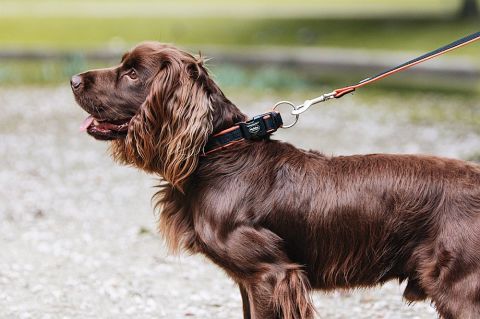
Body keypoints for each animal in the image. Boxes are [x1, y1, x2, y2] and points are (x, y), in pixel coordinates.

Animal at [71, 42, 480, 319]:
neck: (220, 153)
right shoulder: (249, 282)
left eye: (132, 73)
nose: (73, 79)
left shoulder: (270, 275)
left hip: (460, 286)